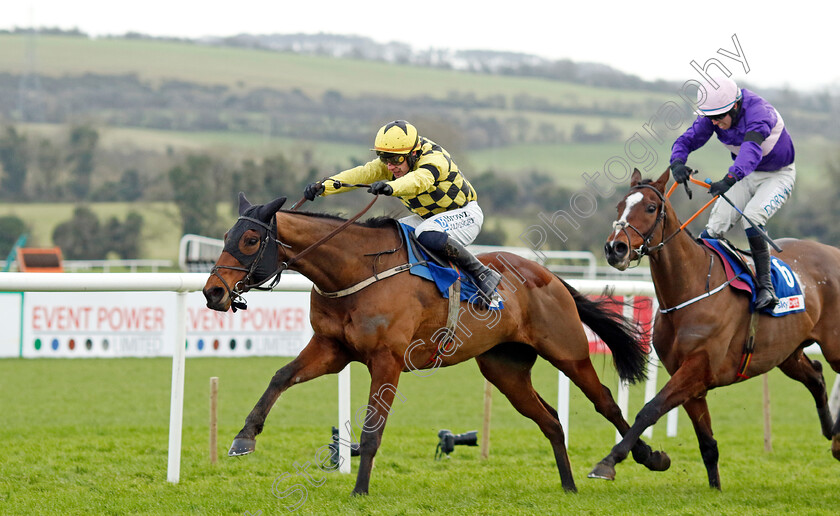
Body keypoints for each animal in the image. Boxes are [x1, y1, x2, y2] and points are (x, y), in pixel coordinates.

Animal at [203, 194, 668, 496]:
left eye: (249, 240)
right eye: (225, 235)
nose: (213, 293)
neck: (355, 271)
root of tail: (550, 276)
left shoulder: (387, 360)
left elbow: (372, 430)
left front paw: (359, 491)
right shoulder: (332, 349)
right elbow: (280, 376)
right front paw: (244, 438)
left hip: (567, 351)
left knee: (605, 401)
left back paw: (641, 459)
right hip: (505, 369)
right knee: (551, 420)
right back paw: (569, 485)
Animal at [596, 168, 840, 488]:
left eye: (650, 207)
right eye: (619, 207)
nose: (615, 248)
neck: (690, 289)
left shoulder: (698, 368)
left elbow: (650, 409)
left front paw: (609, 461)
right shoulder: (688, 378)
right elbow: (707, 444)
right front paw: (714, 487)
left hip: (834, 347)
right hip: (787, 353)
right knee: (816, 375)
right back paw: (831, 432)